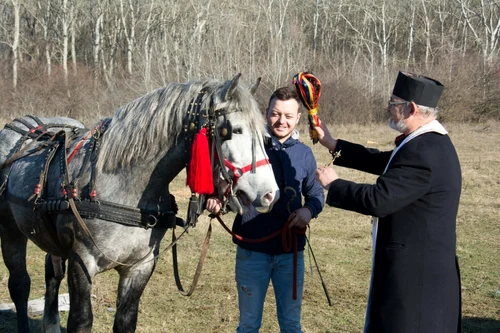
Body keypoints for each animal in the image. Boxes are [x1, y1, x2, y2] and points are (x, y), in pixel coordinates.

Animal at [0, 74, 280, 330]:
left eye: (264, 135)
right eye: (232, 130)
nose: (270, 194)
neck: (124, 187)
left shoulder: (140, 266)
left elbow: (126, 320)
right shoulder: (81, 261)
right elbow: (81, 320)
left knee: (52, 273)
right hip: (11, 231)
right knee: (20, 285)